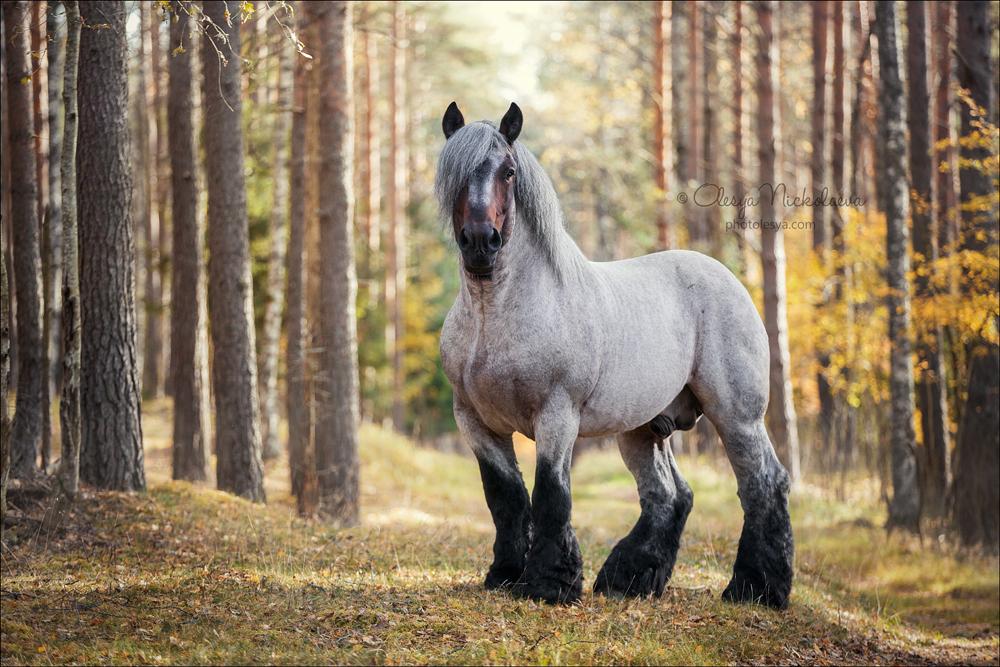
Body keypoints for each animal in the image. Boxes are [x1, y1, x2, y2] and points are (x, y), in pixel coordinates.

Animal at [438, 102, 796, 608]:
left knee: (764, 483)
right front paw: (505, 574)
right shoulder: (475, 421)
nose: (479, 241)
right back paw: (628, 580)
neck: (496, 320)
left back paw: (756, 589)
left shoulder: (557, 415)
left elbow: (551, 494)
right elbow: (505, 496)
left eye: (508, 171)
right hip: (643, 428)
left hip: (737, 415)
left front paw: (549, 584)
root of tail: (727, 277)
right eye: (452, 172)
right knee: (670, 495)